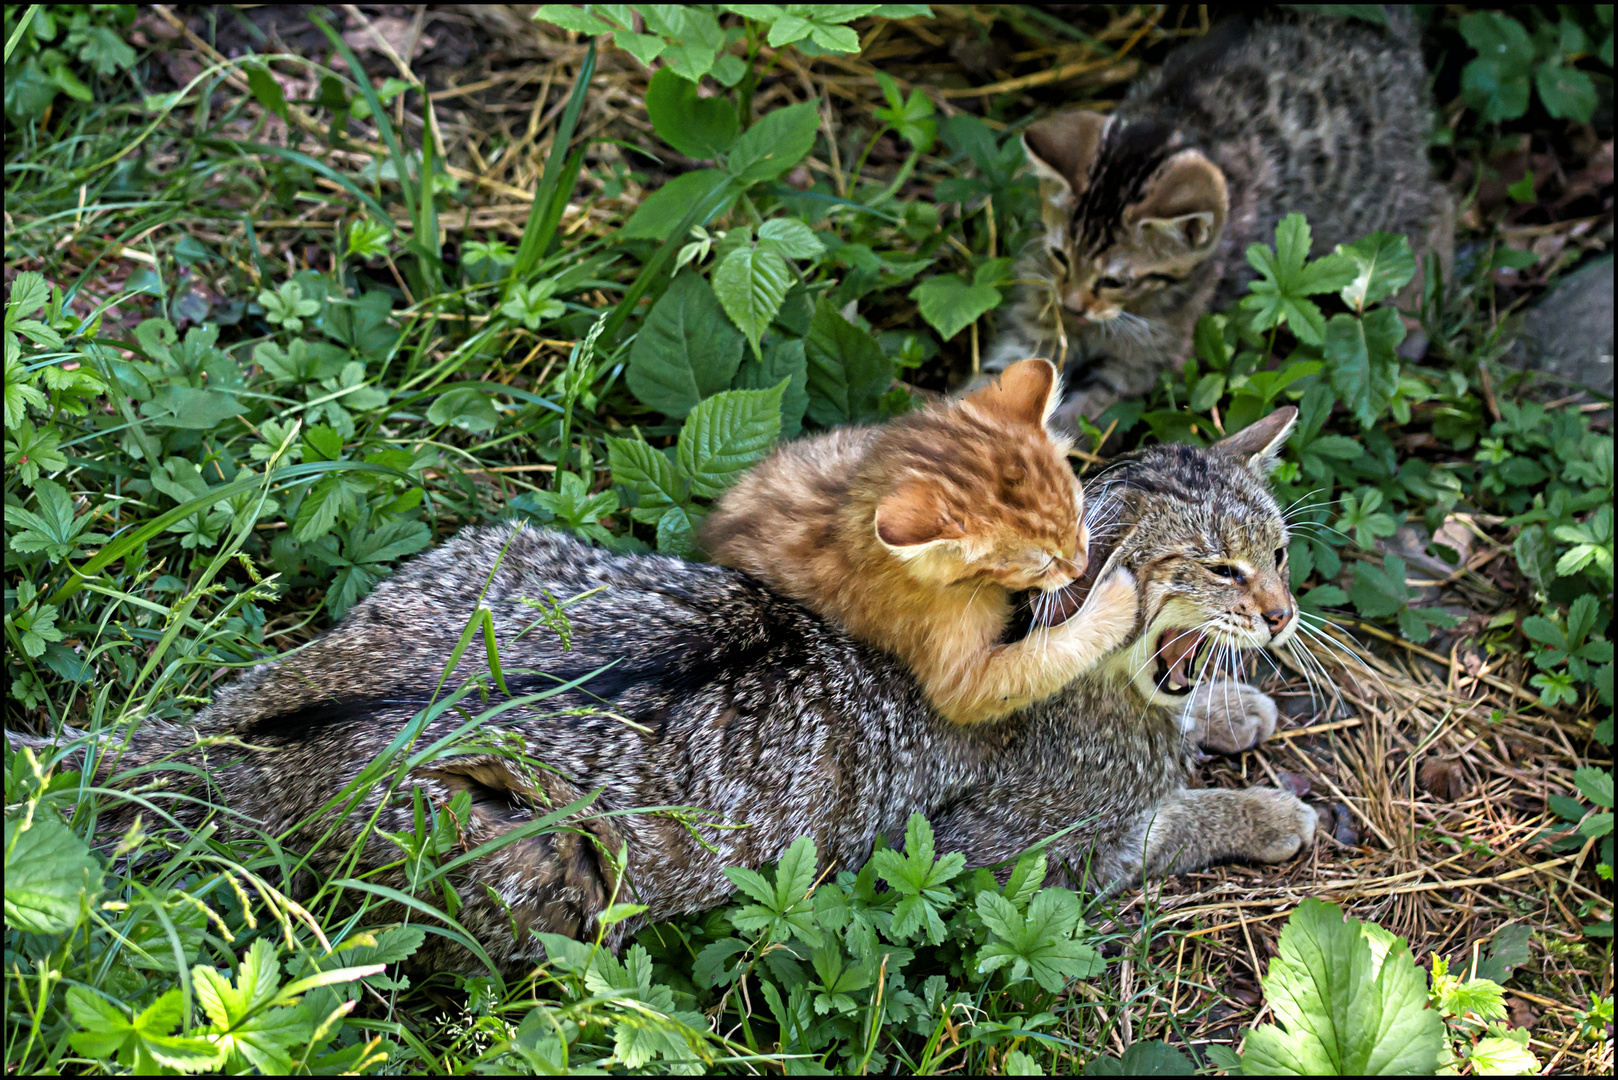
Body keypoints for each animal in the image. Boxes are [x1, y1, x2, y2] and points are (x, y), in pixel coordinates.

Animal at [15, 409, 1313, 977]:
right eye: (1218, 570)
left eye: (1281, 552)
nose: (1285, 615)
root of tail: (269, 710)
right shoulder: (1017, 865)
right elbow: (1170, 823)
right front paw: (1266, 810)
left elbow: (1189, 742)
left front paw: (1235, 714)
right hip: (533, 879)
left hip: (496, 550)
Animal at [698, 359, 1139, 722]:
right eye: (1043, 562)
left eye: (1078, 518)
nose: (1082, 566)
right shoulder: (960, 683)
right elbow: (1043, 660)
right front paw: (1118, 602)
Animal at [983, 11, 1443, 430]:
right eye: (1060, 256)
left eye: (1116, 281)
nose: (1072, 306)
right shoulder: (1033, 323)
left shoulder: (1143, 364)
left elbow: (1082, 412)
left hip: (1371, 201)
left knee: (1435, 208)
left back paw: (1413, 324)